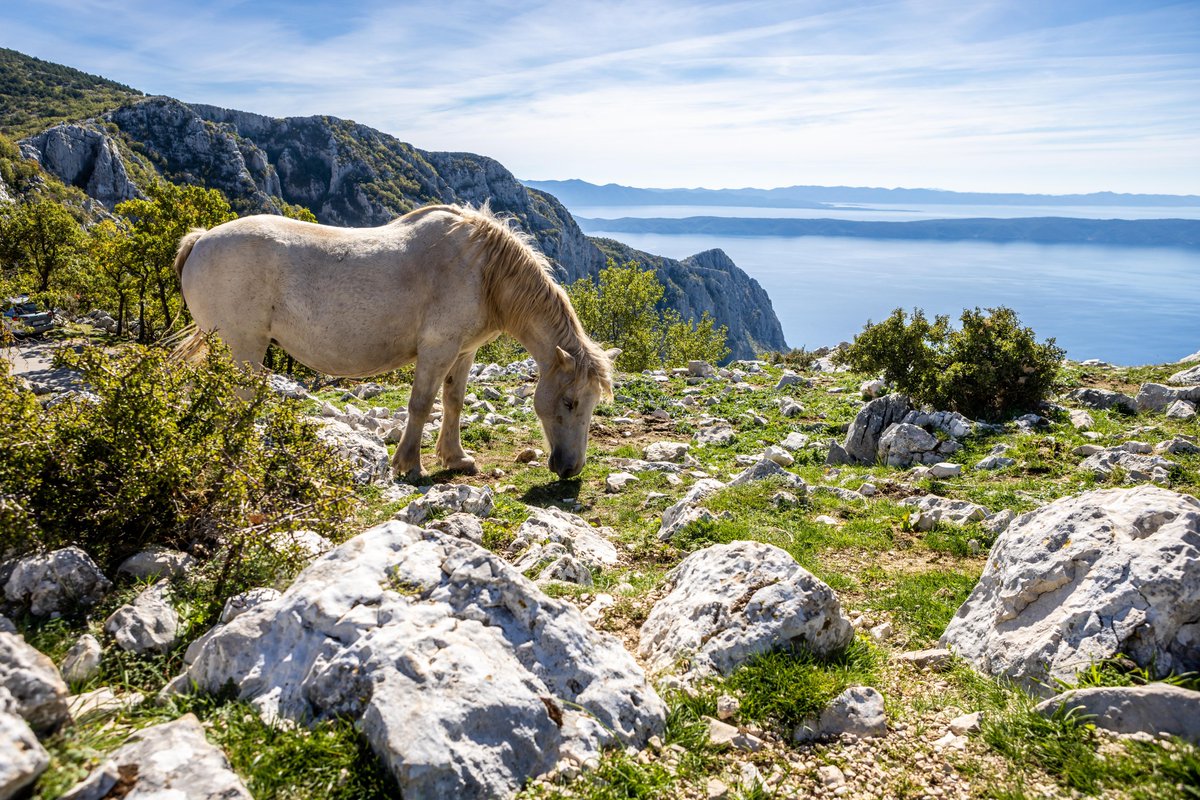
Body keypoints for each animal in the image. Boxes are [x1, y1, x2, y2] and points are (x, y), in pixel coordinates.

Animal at [172, 203, 619, 480]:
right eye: (569, 402)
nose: (570, 469)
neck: (483, 271)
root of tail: (201, 239)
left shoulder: (463, 351)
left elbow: (453, 402)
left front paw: (455, 458)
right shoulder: (437, 348)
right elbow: (421, 404)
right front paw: (409, 465)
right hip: (242, 348)